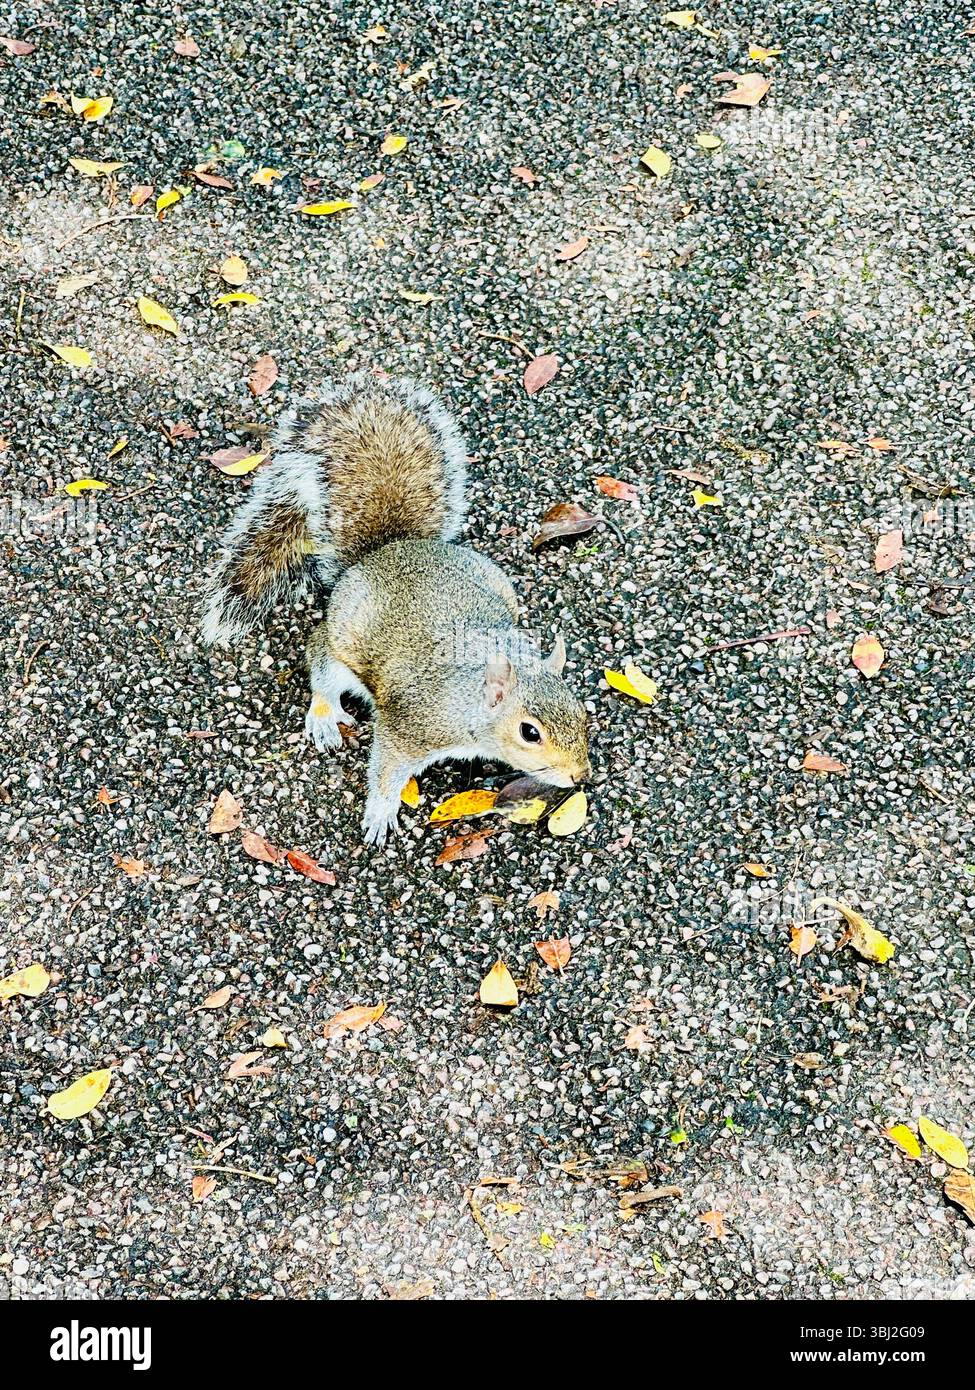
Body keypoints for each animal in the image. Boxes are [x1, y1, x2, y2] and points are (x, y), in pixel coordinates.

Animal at [201, 375, 591, 846]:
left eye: (581, 711)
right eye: (529, 732)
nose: (581, 776)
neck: (470, 702)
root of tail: (385, 550)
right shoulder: (409, 728)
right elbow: (386, 771)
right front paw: (380, 814)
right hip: (339, 647)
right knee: (320, 664)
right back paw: (324, 715)